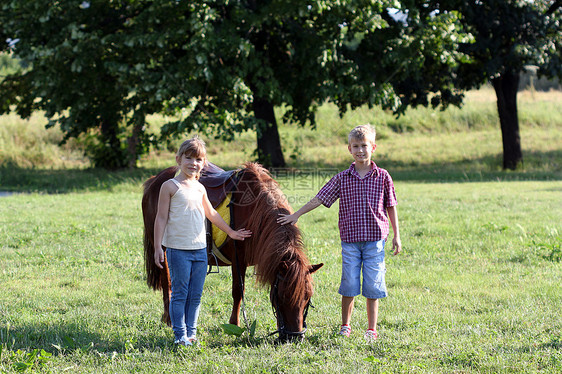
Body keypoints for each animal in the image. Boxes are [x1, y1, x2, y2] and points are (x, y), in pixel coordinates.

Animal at [142, 162, 322, 340]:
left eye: (307, 297)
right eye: (283, 296)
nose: (295, 337)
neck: (254, 212)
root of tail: (154, 180)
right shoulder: (238, 260)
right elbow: (238, 291)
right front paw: (234, 324)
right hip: (163, 251)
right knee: (167, 281)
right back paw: (169, 318)